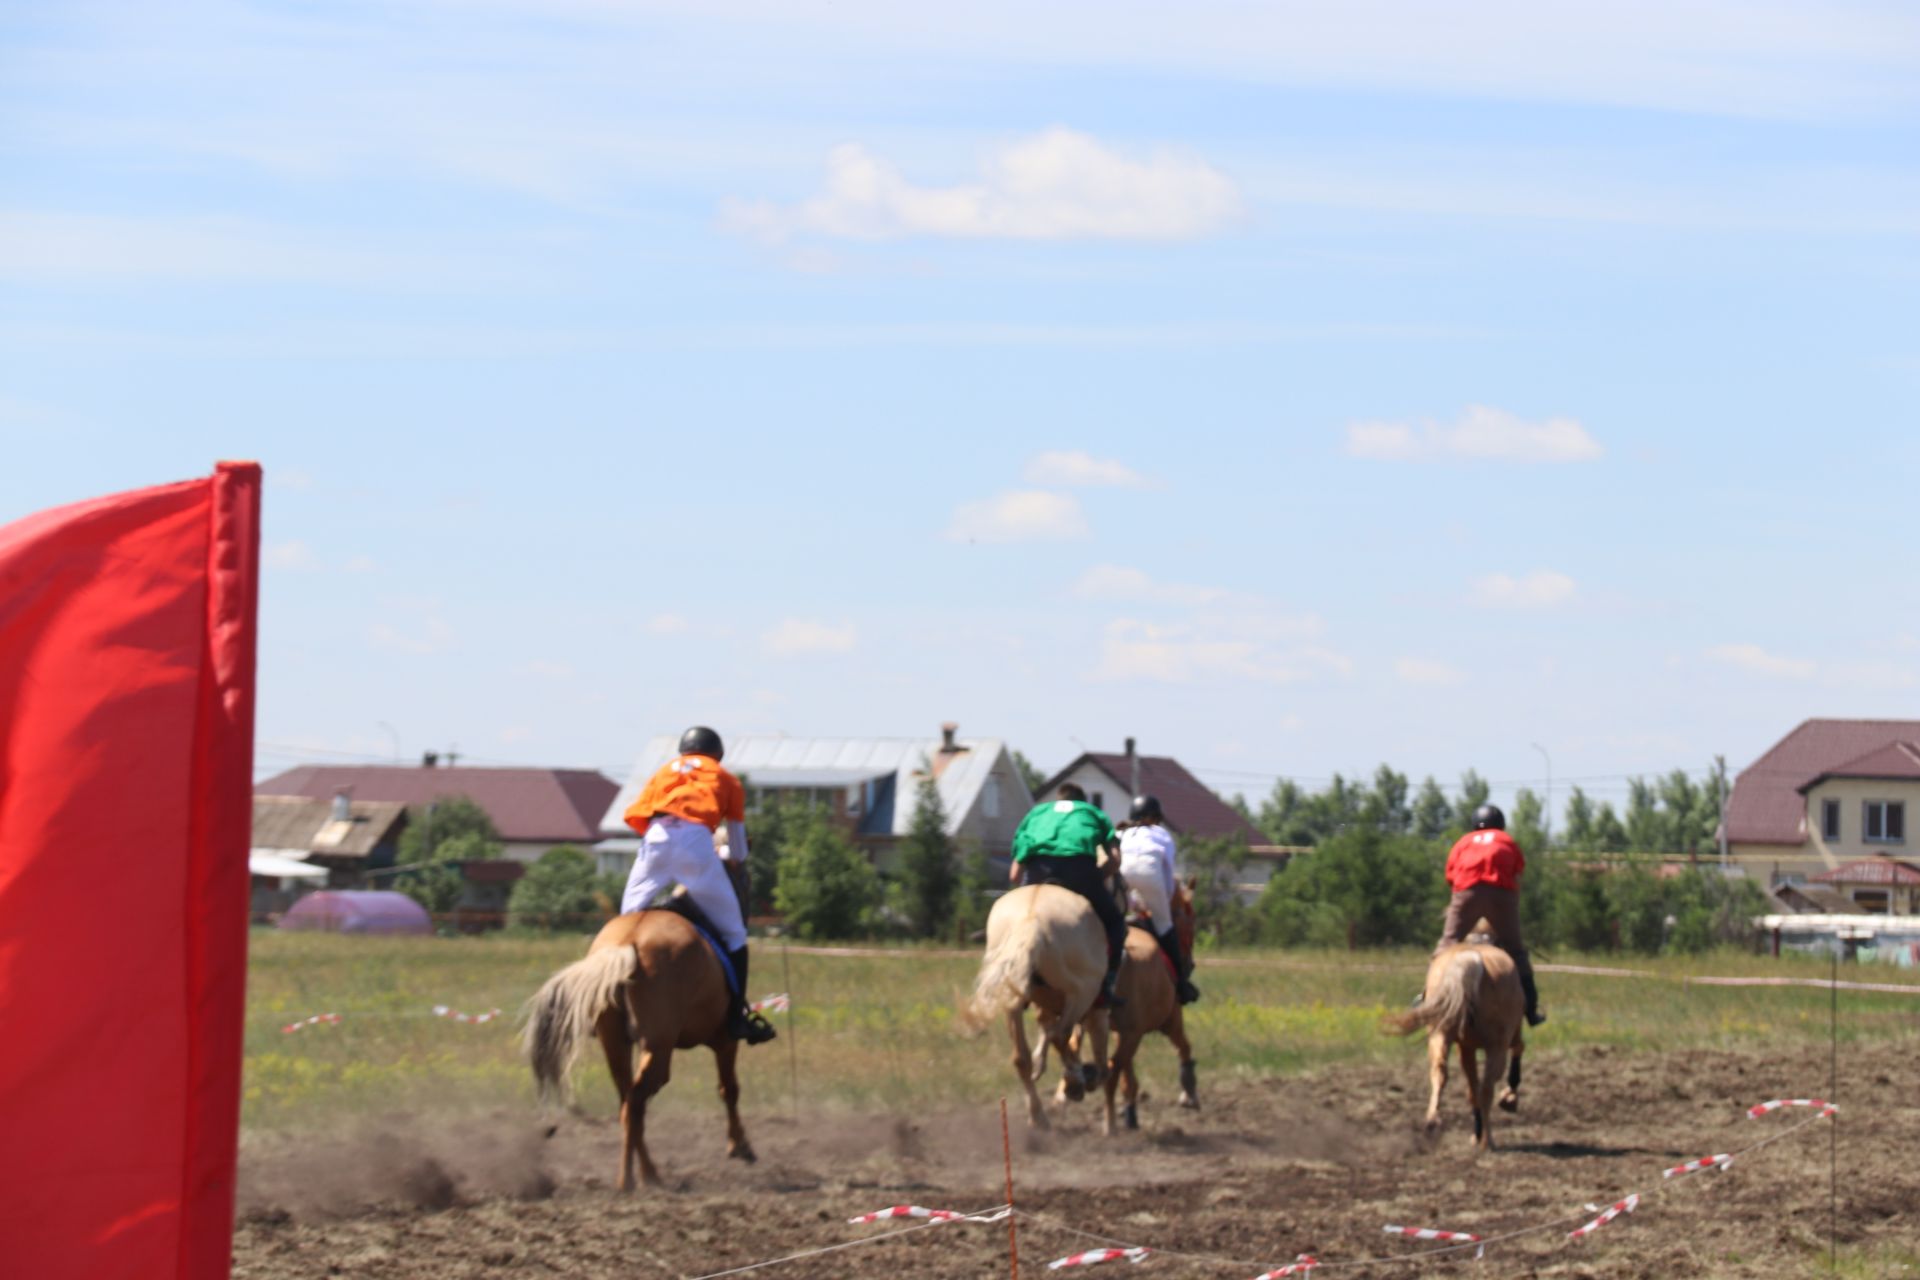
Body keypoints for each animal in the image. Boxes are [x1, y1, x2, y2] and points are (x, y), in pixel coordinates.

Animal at [533, 909, 764, 1189]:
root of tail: (628, 942)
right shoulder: (725, 1041)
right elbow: (729, 1090)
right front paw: (739, 1145)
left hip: (616, 1046)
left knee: (629, 1103)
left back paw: (641, 1174)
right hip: (658, 1049)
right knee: (636, 1102)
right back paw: (636, 1178)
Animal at [1390, 924, 1520, 1159]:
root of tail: (1470, 959)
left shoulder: (1465, 1048)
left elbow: (1470, 1090)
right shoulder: (1508, 1039)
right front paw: (1509, 1099)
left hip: (1440, 1034)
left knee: (1440, 1073)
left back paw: (1433, 1122)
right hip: (1496, 1047)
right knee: (1486, 1089)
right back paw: (1488, 1140)